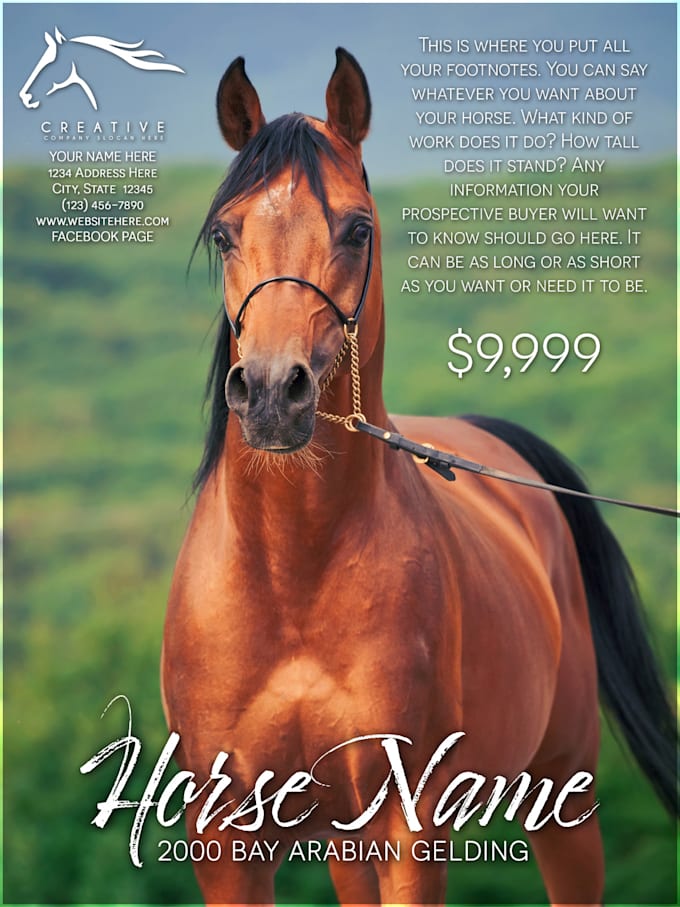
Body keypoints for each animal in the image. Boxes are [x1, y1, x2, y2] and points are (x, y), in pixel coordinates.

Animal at [161, 49, 677, 906]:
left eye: (357, 229)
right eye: (226, 233)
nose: (269, 393)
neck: (291, 575)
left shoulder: (410, 824)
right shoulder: (226, 840)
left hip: (563, 795)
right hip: (345, 838)